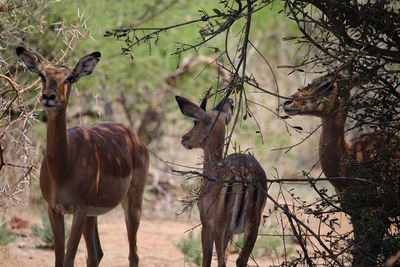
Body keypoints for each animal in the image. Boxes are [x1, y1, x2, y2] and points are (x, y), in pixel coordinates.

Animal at [15, 47, 150, 266]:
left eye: (69, 77)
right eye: (42, 74)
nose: (48, 96)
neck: (63, 167)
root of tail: (133, 135)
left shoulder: (79, 210)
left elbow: (69, 258)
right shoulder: (54, 209)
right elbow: (59, 258)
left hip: (131, 205)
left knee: (133, 254)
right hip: (92, 215)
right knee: (96, 253)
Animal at [176, 96, 268, 267]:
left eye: (195, 122)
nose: (184, 138)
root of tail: (245, 171)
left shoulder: (207, 226)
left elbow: (206, 260)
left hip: (221, 228)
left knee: (221, 262)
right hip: (252, 227)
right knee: (240, 260)